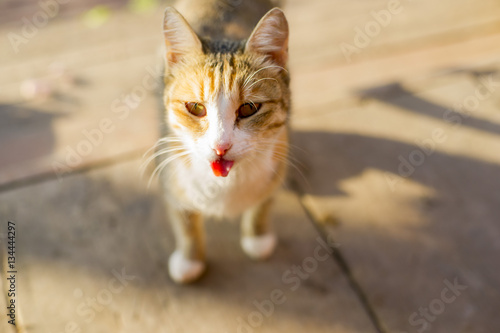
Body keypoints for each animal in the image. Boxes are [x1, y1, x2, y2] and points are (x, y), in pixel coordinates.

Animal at [156, 0, 290, 282]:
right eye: (196, 107)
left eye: (249, 108)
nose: (221, 146)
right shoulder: (169, 169)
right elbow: (184, 218)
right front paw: (190, 258)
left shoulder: (279, 157)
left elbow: (264, 201)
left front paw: (258, 236)